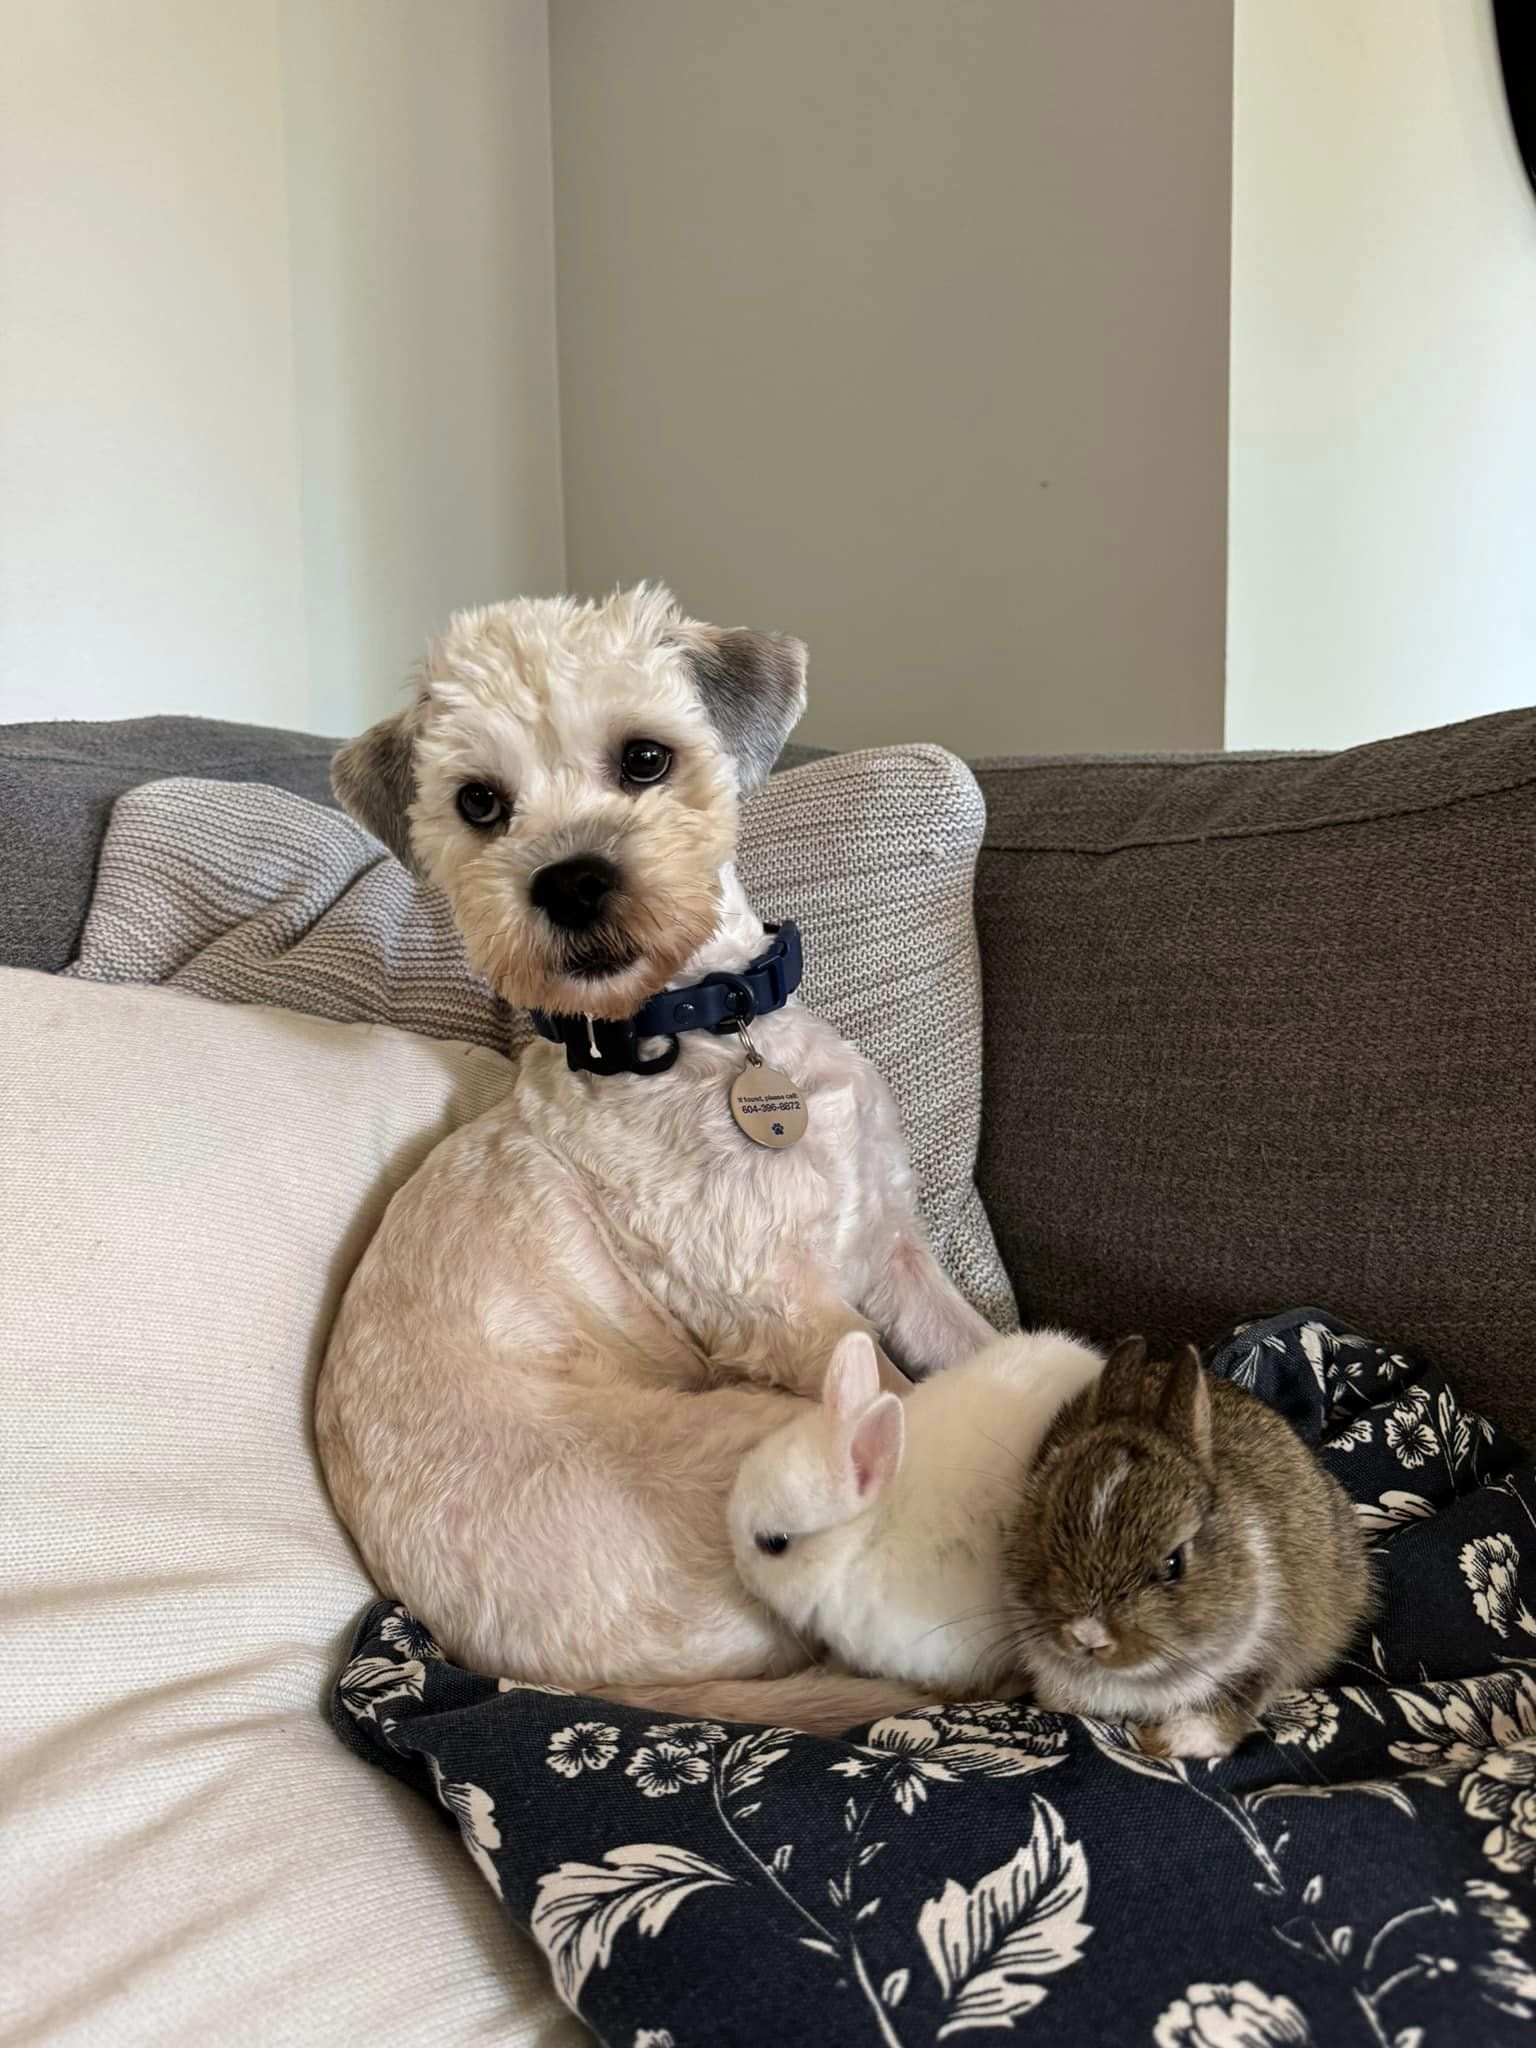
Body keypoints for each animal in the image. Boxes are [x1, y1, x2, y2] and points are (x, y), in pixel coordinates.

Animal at [319, 589, 1003, 1728]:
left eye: (645, 757)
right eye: (479, 803)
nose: (570, 882)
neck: (702, 1034)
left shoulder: (893, 1249)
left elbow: (978, 1344)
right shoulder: (788, 1315)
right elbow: (908, 1391)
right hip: (756, 1432)